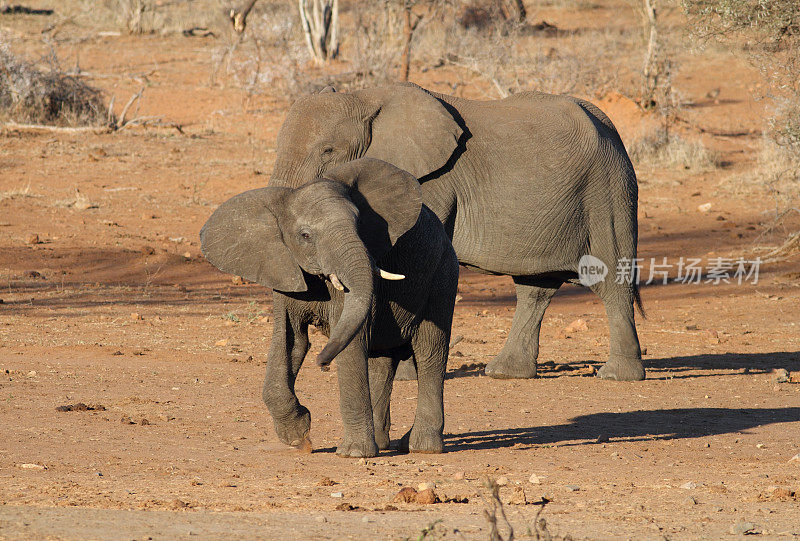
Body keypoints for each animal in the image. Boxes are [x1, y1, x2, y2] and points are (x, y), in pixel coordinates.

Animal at [203, 157, 460, 456]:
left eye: (360, 224)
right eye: (305, 236)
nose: (322, 363)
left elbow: (351, 341)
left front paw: (353, 453)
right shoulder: (285, 269)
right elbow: (290, 341)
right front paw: (299, 438)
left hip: (443, 274)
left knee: (430, 350)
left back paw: (422, 447)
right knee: (382, 361)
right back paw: (386, 443)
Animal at [268, 83, 644, 380]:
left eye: (328, 151)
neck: (364, 97)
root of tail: (609, 125)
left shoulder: (428, 182)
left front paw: (403, 375)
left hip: (608, 189)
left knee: (611, 277)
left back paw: (617, 376)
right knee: (534, 288)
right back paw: (505, 373)